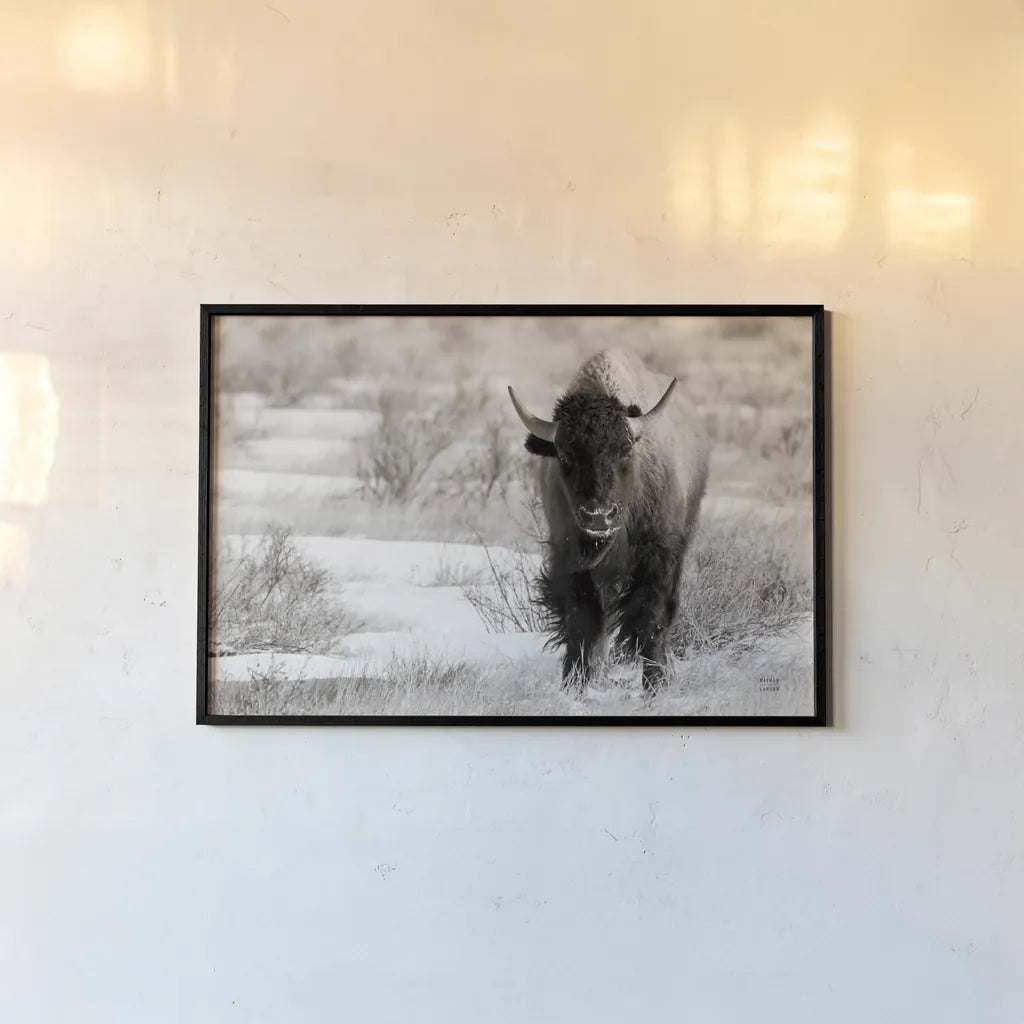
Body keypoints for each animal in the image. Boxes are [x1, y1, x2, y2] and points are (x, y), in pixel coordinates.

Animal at [508, 348, 710, 693]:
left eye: (625, 449)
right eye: (564, 455)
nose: (598, 516)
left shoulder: (658, 558)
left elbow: (651, 618)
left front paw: (655, 685)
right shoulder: (569, 560)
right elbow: (583, 622)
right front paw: (573, 685)